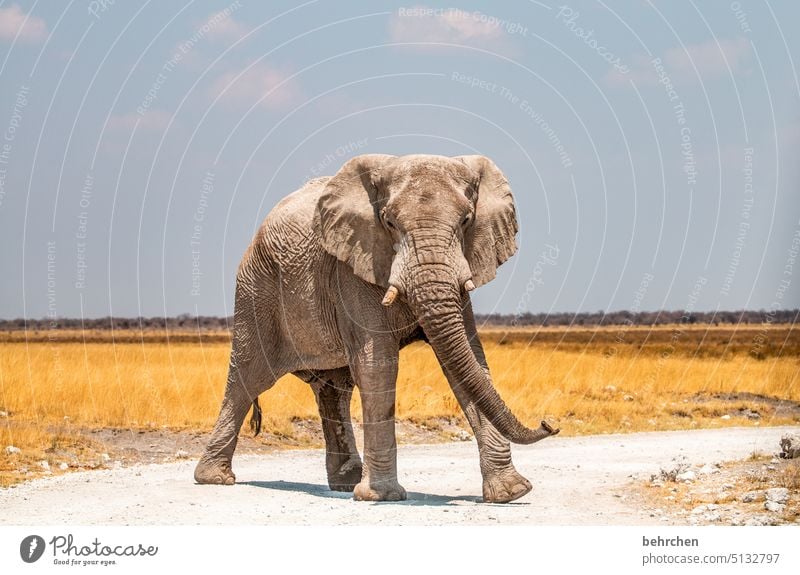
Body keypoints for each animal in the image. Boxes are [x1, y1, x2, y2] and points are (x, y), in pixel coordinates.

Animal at [193, 155, 556, 502]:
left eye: (466, 221)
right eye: (390, 223)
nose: (549, 422)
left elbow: (468, 364)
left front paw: (513, 493)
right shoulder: (354, 266)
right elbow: (378, 365)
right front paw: (381, 496)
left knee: (333, 387)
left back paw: (345, 483)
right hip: (255, 290)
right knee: (248, 377)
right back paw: (214, 478)